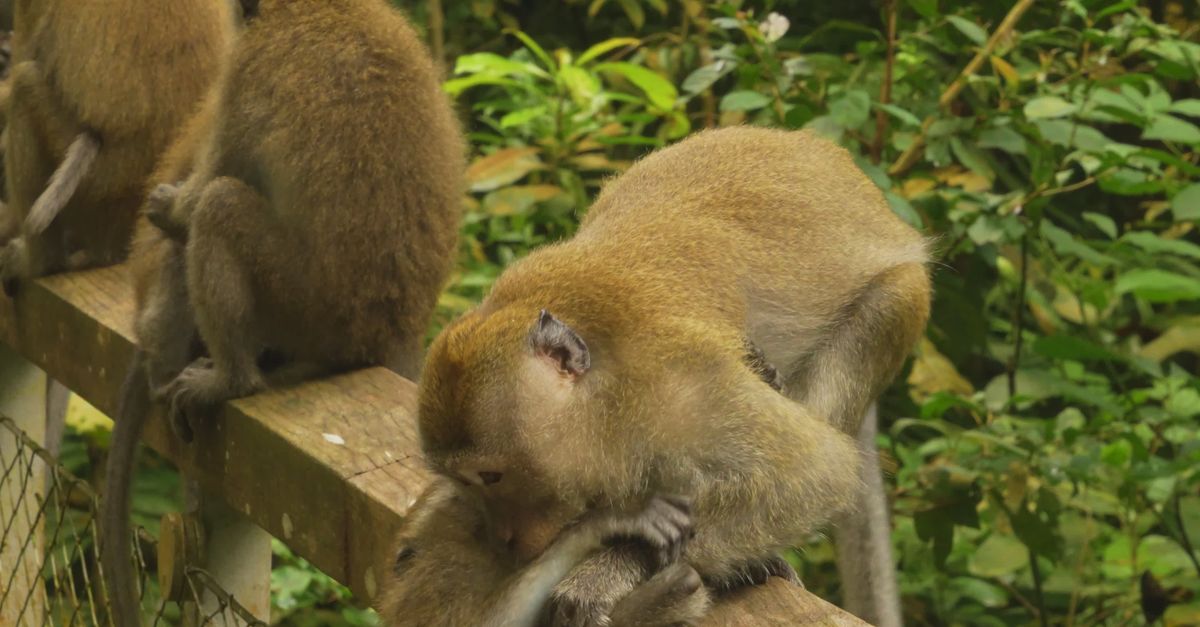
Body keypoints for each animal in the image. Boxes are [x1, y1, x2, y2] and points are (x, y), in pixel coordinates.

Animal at [416, 126, 931, 625]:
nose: (502, 538)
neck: (605, 389)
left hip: (901, 297)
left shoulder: (682, 386)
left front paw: (614, 567)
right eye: (465, 481)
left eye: (492, 477)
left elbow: (813, 472)